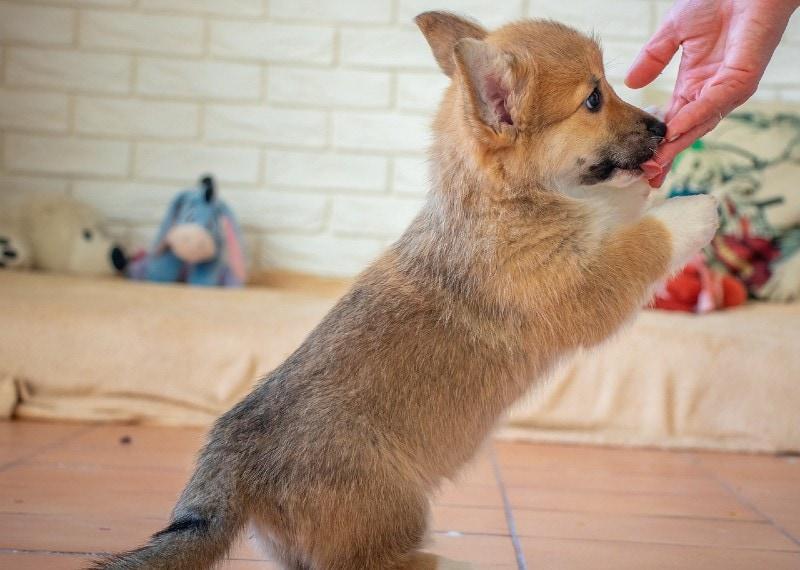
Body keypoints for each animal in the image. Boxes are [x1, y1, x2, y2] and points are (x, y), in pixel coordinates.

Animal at [94, 13, 720, 568]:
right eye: (593, 99)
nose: (664, 128)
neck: (505, 199)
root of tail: (228, 474)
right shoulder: (585, 289)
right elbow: (648, 240)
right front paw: (696, 208)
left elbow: (620, 210)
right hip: (393, 513)